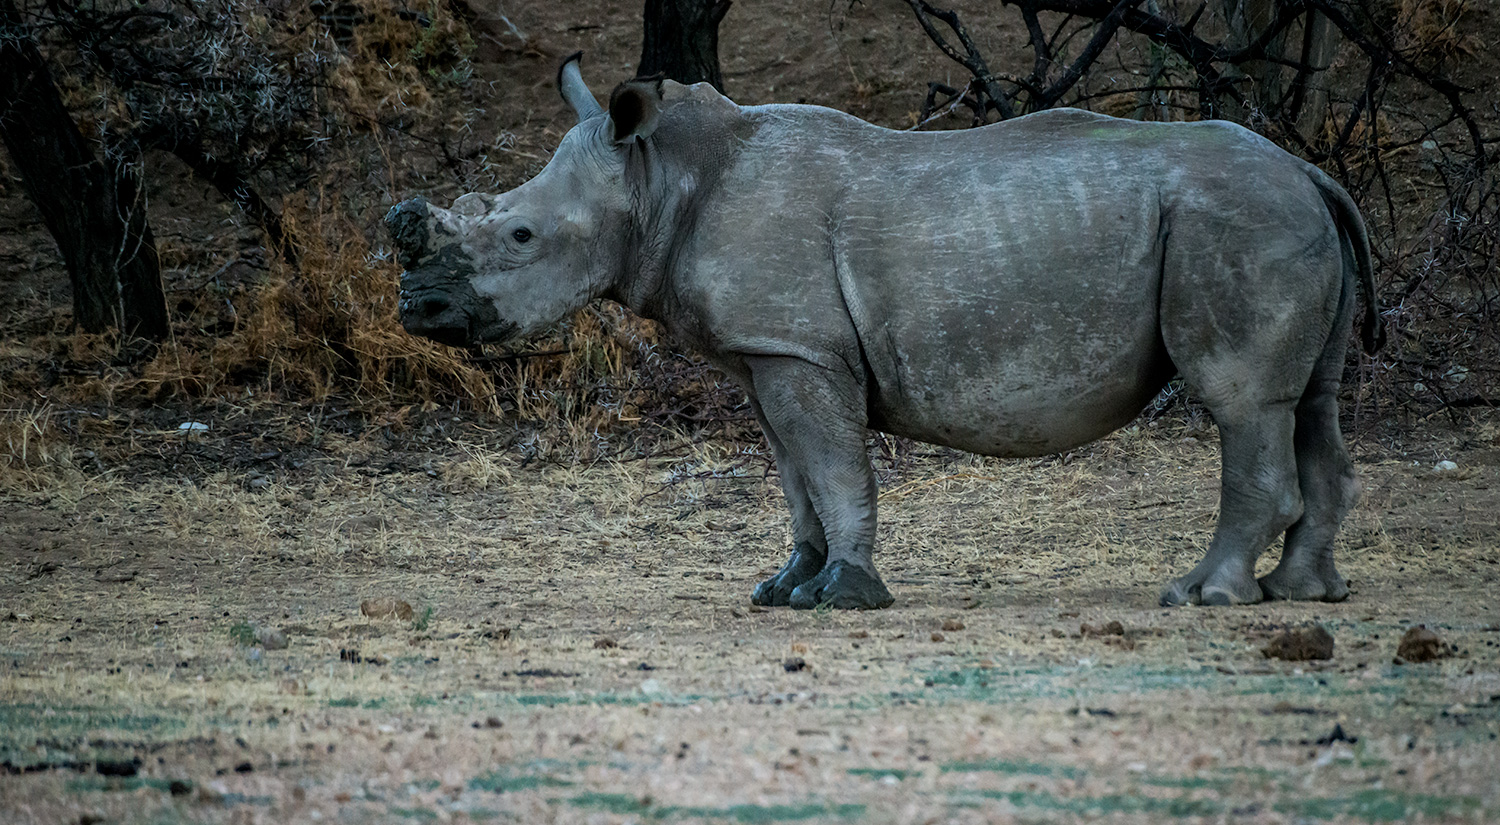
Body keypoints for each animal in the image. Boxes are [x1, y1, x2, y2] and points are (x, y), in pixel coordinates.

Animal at [386, 54, 1382, 611]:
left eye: (519, 235)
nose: (415, 309)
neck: (658, 173)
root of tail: (1309, 171)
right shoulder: (769, 353)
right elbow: (794, 476)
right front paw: (783, 590)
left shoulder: (798, 349)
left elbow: (833, 468)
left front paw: (846, 598)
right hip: (1277, 217)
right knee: (1313, 401)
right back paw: (1301, 592)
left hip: (1233, 222)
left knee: (1242, 401)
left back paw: (1200, 596)